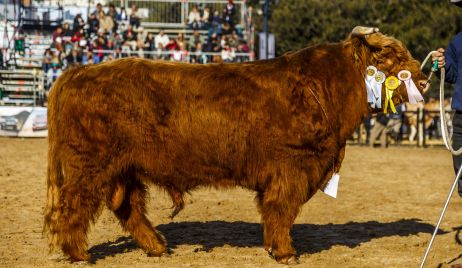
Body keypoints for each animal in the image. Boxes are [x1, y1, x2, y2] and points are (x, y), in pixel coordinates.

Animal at [43, 26, 430, 264]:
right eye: (388, 59)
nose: (424, 79)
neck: (325, 88)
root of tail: (78, 72)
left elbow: (276, 212)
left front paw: (276, 248)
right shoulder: (292, 166)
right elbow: (281, 210)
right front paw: (286, 252)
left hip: (123, 168)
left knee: (128, 208)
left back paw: (157, 247)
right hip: (90, 164)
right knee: (74, 204)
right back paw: (79, 254)